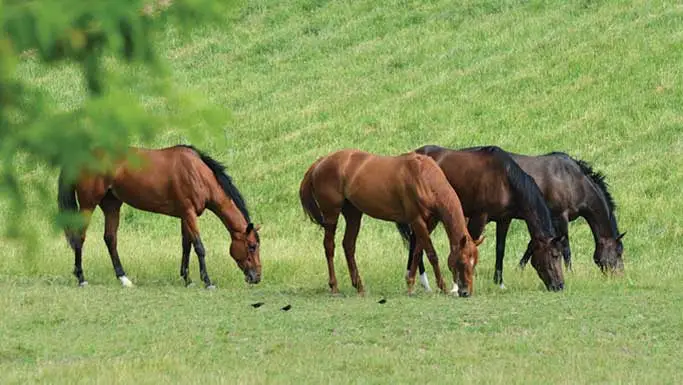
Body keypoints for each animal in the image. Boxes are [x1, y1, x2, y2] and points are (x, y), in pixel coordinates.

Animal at [58, 145, 262, 288]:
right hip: (88, 205)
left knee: (110, 238)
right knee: (80, 237)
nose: (257, 277)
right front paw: (207, 281)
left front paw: (187, 279)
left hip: (111, 205)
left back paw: (124, 279)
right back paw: (81, 278)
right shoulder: (189, 214)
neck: (198, 173)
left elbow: (186, 246)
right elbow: (199, 247)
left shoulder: (185, 215)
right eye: (252, 246)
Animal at [298, 148, 480, 296]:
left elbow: (417, 251)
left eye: (474, 263)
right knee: (329, 246)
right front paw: (442, 287)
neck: (423, 176)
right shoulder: (417, 220)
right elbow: (431, 254)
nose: (465, 292)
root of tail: (321, 161)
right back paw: (334, 286)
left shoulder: (429, 223)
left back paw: (359, 286)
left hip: (353, 214)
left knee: (348, 245)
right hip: (331, 215)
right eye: (462, 261)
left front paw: (410, 285)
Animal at [400, 146, 568, 290]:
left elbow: (500, 249)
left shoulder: (504, 220)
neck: (503, 179)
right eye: (554, 255)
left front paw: (499, 283)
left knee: (416, 240)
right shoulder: (479, 217)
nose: (560, 285)